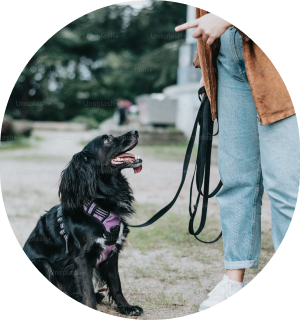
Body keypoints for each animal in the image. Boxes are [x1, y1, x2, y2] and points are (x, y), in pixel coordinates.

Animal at [23, 130, 143, 316]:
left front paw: (127, 307)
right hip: (41, 263)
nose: (135, 131)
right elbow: (87, 293)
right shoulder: (80, 260)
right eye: (106, 139)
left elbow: (116, 285)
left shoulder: (112, 254)